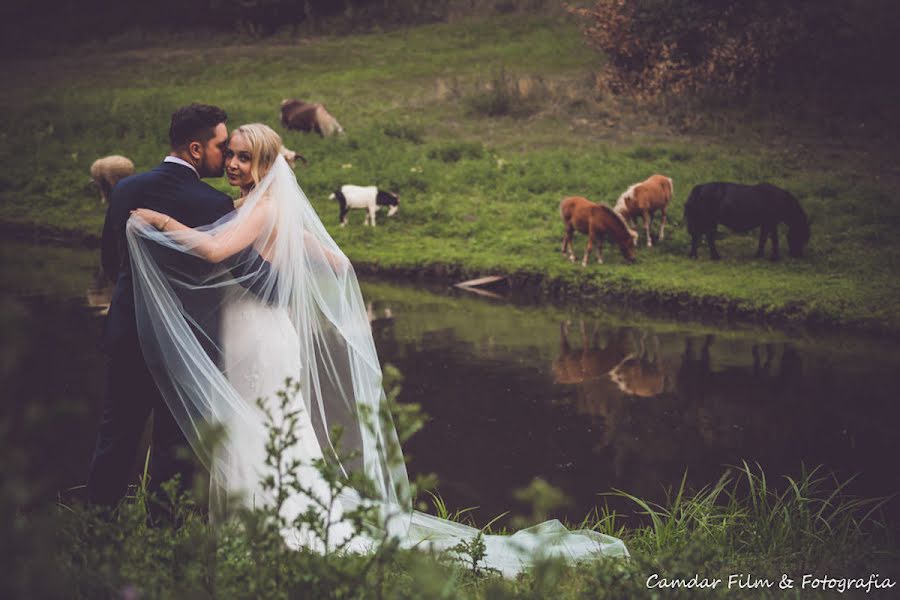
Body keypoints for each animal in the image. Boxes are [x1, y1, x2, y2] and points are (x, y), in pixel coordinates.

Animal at [684, 180, 812, 260]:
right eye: (801, 235)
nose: (797, 255)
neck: (780, 200)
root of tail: (699, 188)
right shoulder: (771, 223)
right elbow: (774, 240)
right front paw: (775, 258)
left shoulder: (766, 224)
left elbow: (763, 239)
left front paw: (759, 255)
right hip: (708, 221)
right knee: (706, 237)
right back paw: (714, 257)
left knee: (698, 236)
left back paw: (695, 256)